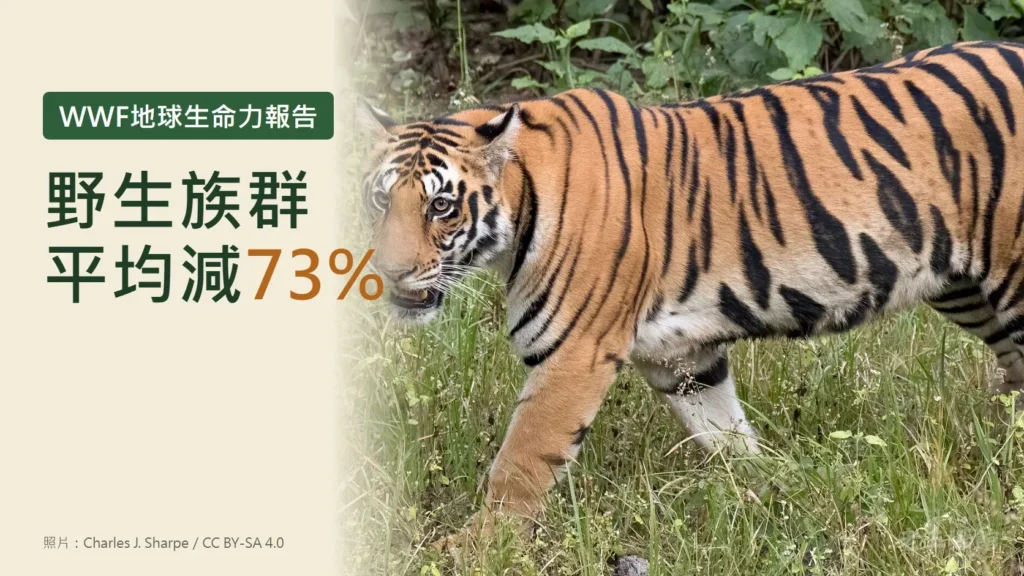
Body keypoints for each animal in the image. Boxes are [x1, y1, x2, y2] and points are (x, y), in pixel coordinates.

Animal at [356, 41, 1024, 544]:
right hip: (962, 288)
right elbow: (725, 433)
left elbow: (520, 462)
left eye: (442, 207)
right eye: (381, 201)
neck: (520, 210)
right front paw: (769, 491)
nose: (389, 272)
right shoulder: (681, 355)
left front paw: (473, 548)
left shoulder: (573, 353)